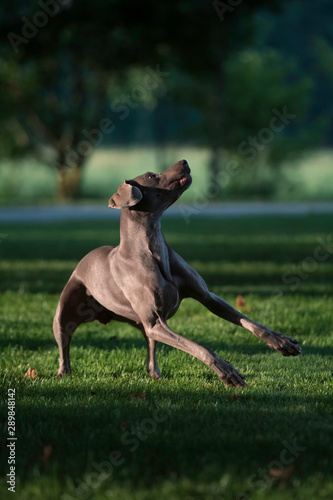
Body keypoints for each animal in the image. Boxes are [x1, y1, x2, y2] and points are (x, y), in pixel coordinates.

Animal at [52, 160, 300, 386]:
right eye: (151, 176)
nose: (184, 161)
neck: (153, 249)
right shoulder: (156, 322)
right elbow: (199, 347)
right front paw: (226, 371)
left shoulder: (207, 297)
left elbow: (248, 321)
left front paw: (281, 342)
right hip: (65, 312)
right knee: (64, 341)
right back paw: (62, 373)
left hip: (143, 327)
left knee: (151, 349)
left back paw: (155, 374)